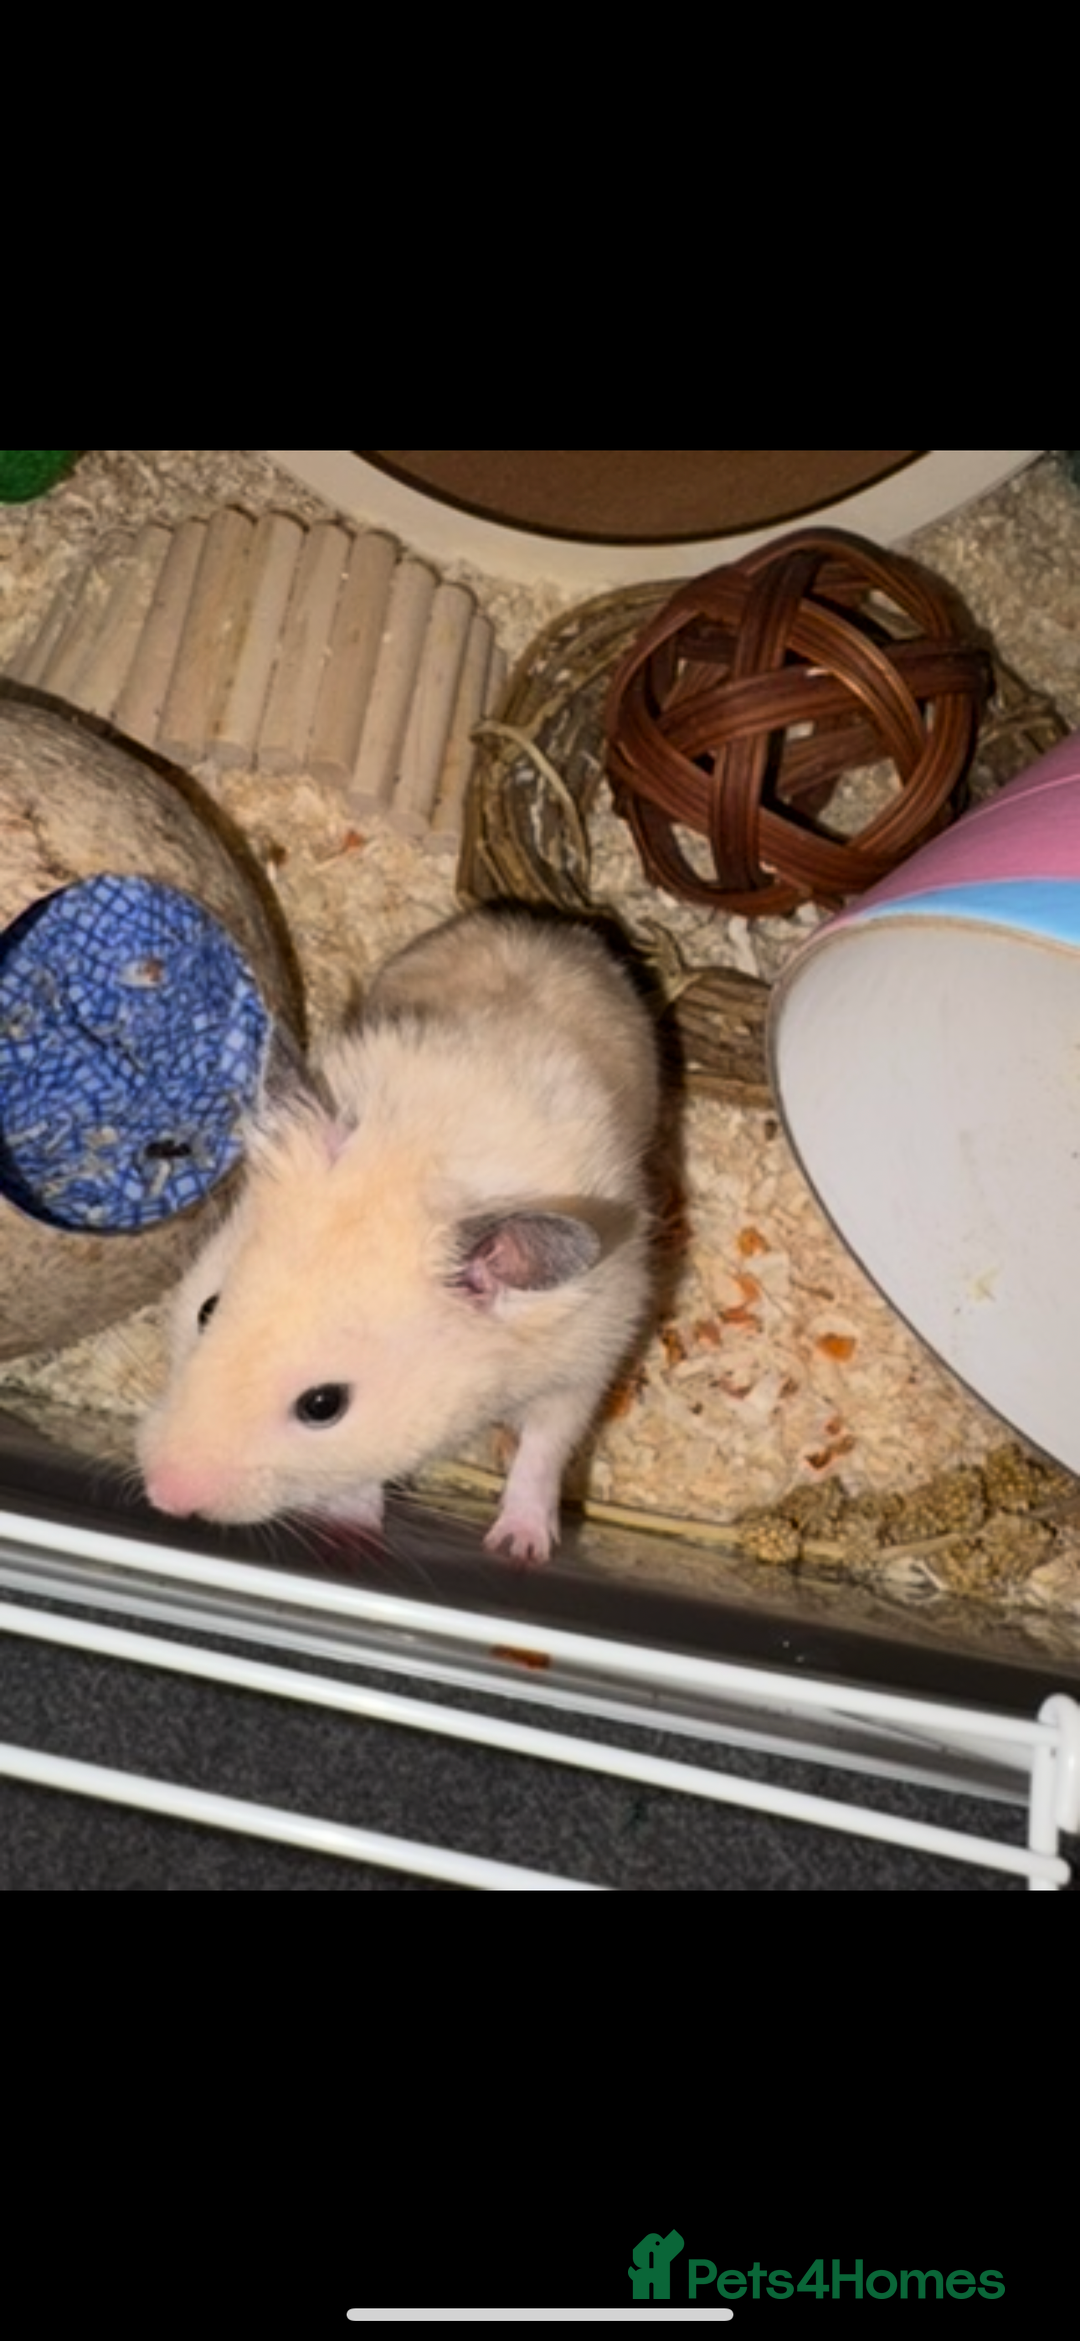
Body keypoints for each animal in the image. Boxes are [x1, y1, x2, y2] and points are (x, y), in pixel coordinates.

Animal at [138, 907, 660, 1565]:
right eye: (206, 1310)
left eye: (323, 1405)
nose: (162, 1494)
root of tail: (556, 926)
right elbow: (359, 1474)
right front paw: (350, 1537)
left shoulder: (586, 1358)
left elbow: (545, 1448)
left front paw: (519, 1549)